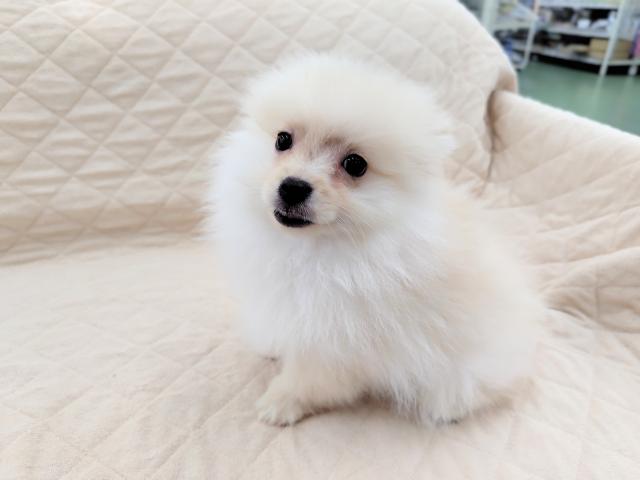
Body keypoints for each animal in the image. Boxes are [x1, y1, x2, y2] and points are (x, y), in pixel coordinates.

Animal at [209, 53, 542, 426]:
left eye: (355, 164)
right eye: (283, 140)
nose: (293, 186)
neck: (317, 247)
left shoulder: (338, 339)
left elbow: (311, 378)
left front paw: (281, 401)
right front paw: (272, 346)